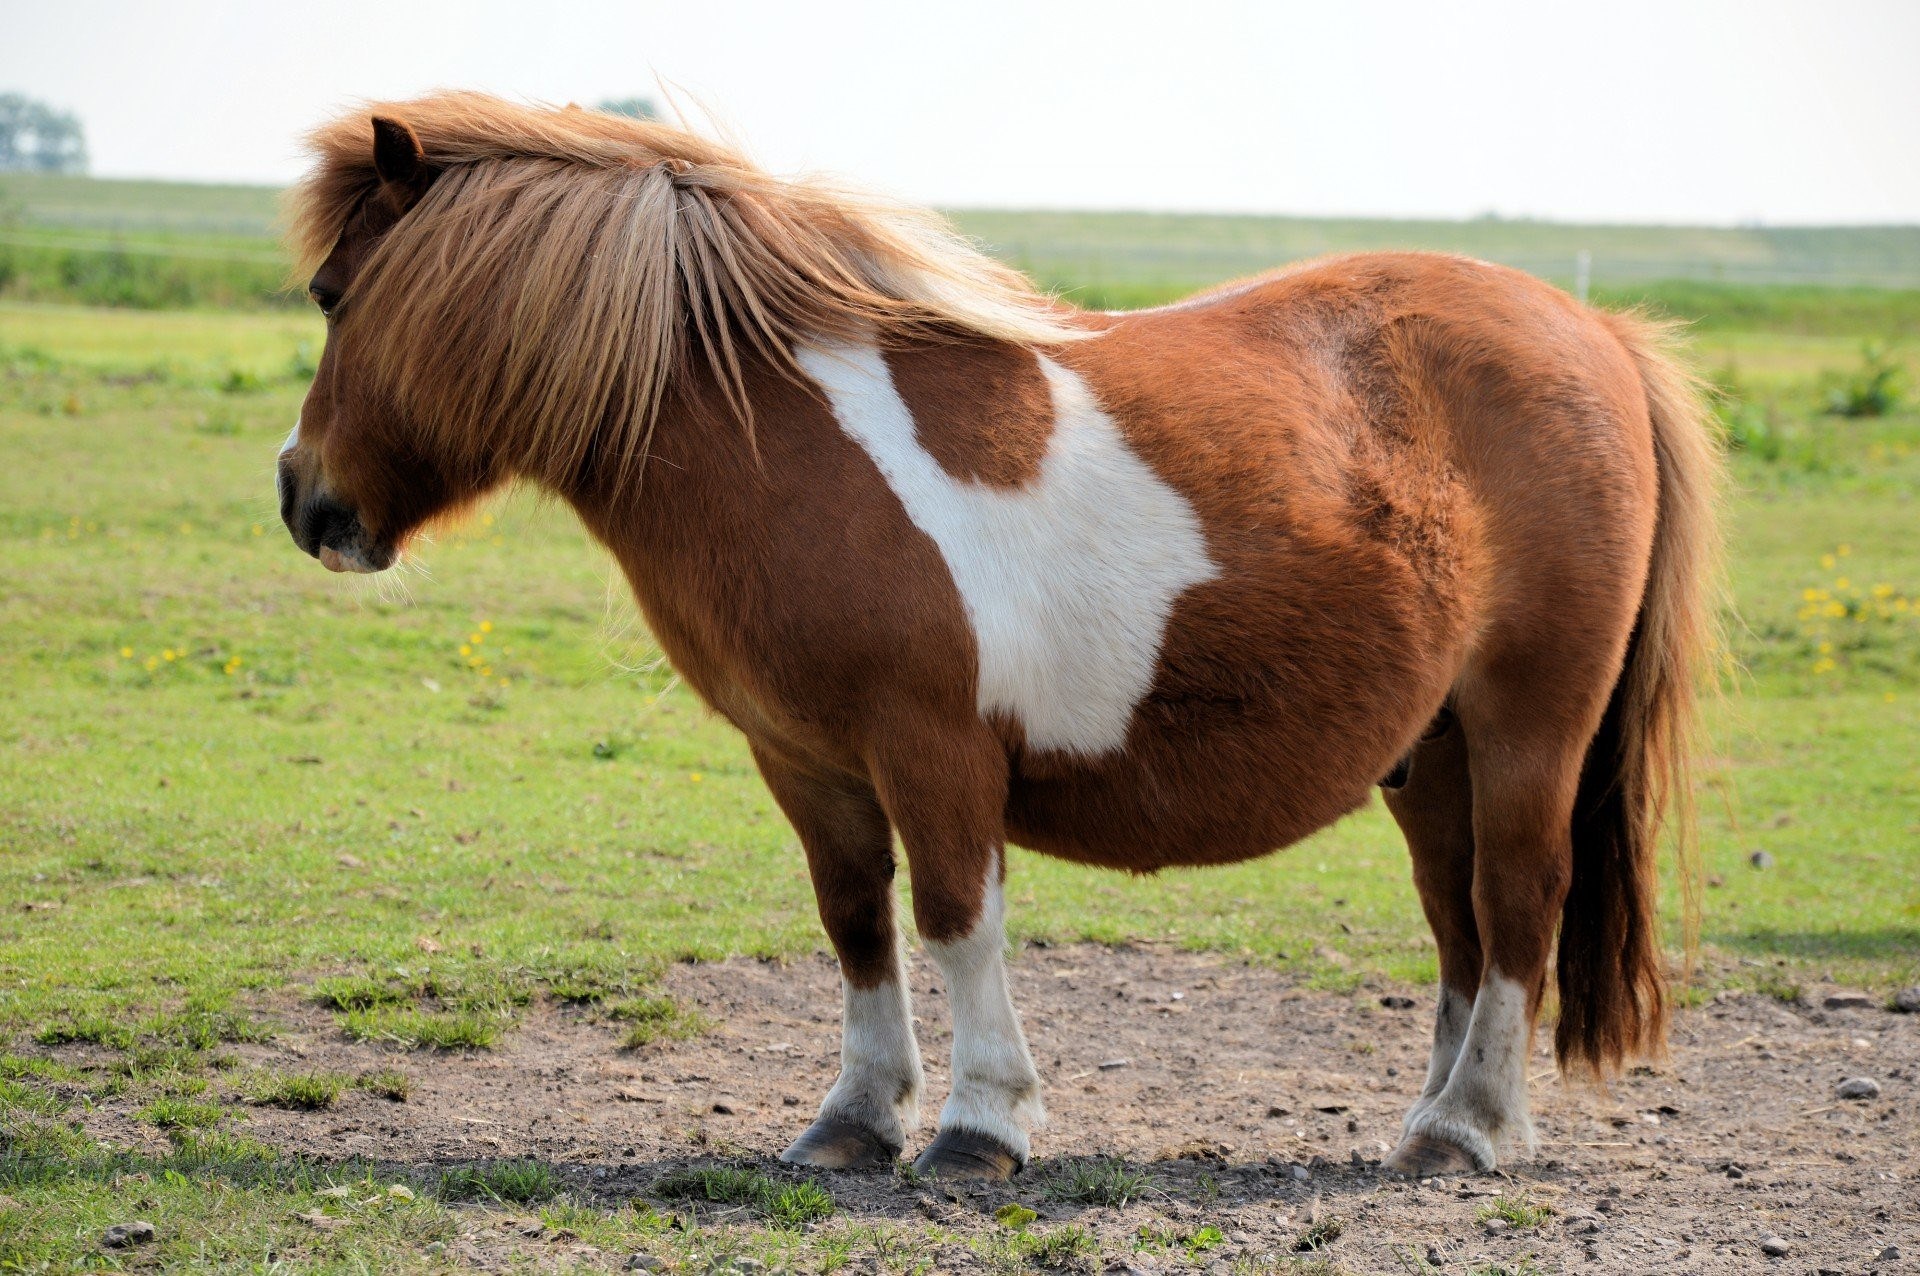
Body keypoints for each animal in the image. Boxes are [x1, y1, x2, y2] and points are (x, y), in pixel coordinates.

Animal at [274, 89, 1728, 1181]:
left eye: (335, 294)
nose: (303, 499)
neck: (779, 439)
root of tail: (1597, 332)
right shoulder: (808, 764)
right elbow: (856, 923)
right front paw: (855, 1121)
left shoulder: (935, 748)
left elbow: (957, 917)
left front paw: (980, 1126)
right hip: (1432, 753)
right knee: (1458, 920)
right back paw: (1431, 1120)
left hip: (1528, 722)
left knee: (1519, 902)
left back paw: (1471, 1132)